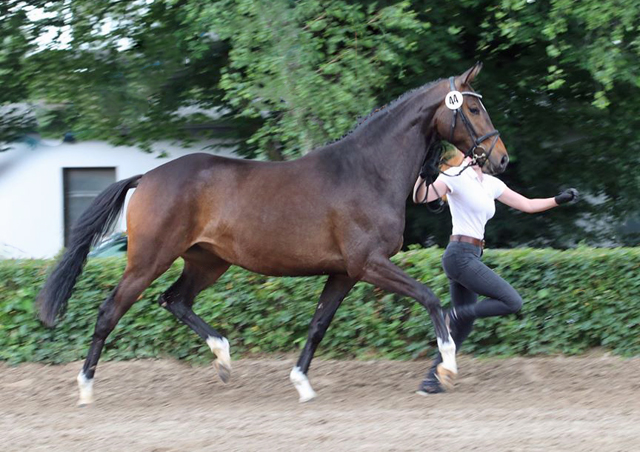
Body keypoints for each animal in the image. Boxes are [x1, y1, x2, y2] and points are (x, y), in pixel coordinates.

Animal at [37, 61, 508, 404]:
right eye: (472, 108)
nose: (500, 158)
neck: (367, 171)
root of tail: (147, 177)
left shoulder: (344, 273)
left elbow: (318, 324)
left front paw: (301, 383)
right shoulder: (369, 264)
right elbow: (430, 298)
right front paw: (447, 368)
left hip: (207, 262)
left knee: (174, 300)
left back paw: (223, 358)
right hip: (148, 260)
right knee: (109, 311)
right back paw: (85, 389)